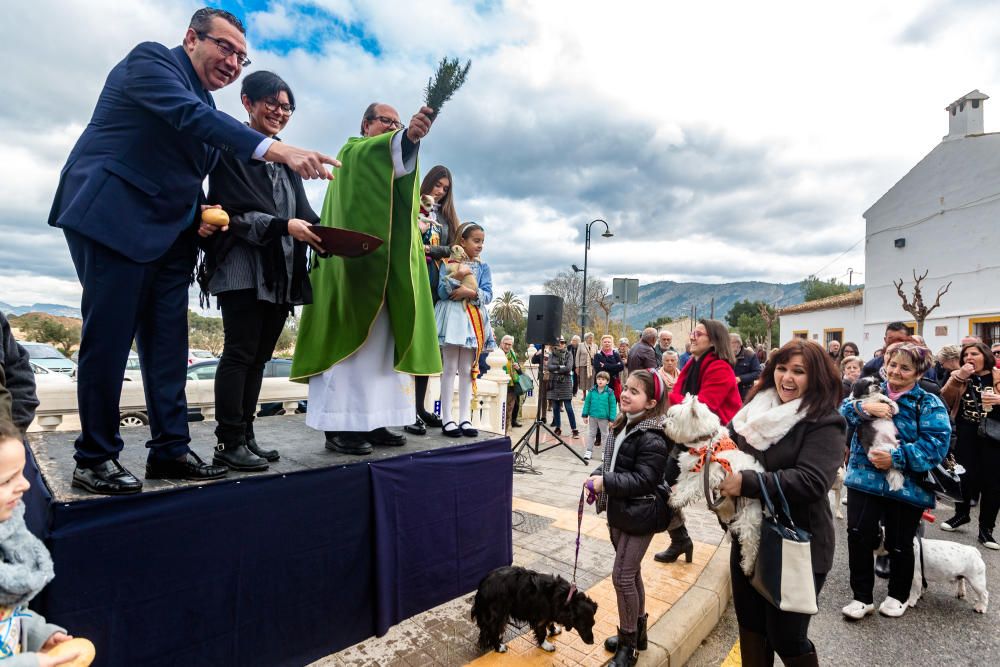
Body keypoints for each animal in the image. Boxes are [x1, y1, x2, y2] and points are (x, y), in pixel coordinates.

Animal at [664, 394, 764, 576]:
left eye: (673, 417)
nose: (663, 425)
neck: (706, 443)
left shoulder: (709, 473)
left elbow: (690, 487)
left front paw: (677, 500)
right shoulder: (691, 468)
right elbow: (683, 484)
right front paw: (675, 496)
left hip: (749, 516)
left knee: (750, 542)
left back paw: (747, 567)